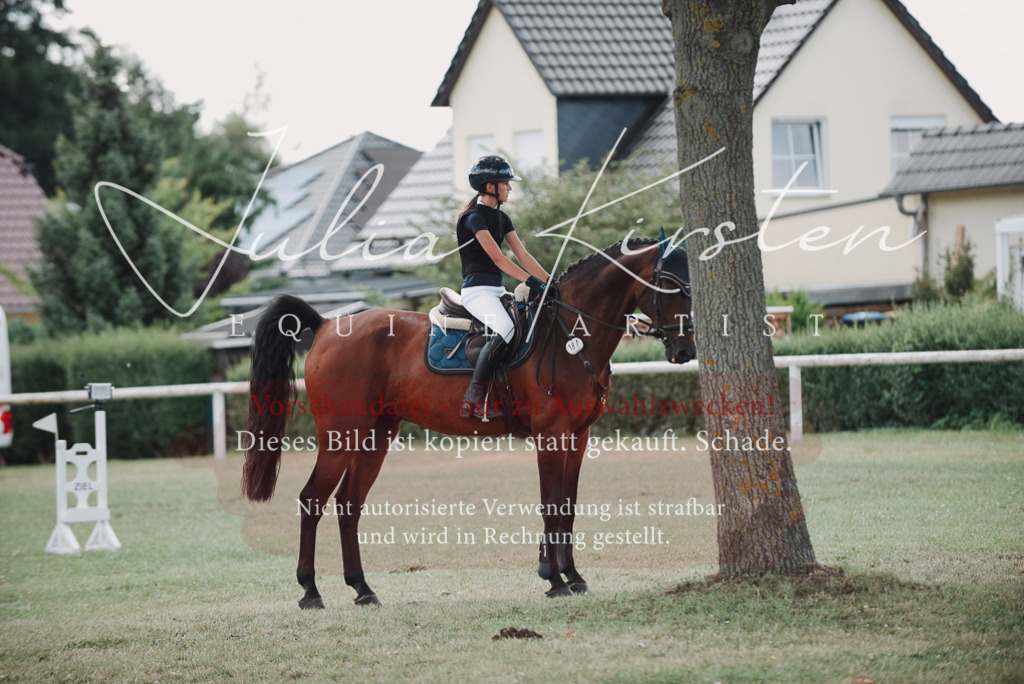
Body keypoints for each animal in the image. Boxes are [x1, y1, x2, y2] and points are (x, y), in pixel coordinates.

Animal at [241, 236, 696, 608]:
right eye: (671, 284)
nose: (684, 350)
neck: (570, 335)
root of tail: (327, 325)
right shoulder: (551, 435)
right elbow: (551, 503)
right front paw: (555, 579)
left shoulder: (578, 437)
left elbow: (567, 504)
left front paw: (571, 574)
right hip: (341, 435)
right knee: (312, 500)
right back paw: (310, 590)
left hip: (376, 436)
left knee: (349, 504)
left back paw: (362, 588)